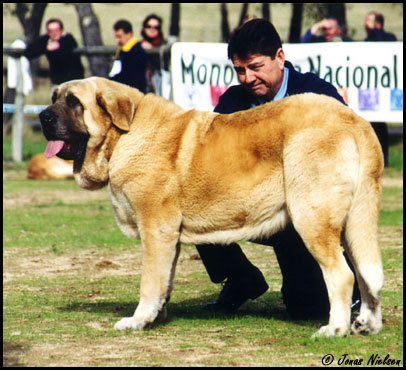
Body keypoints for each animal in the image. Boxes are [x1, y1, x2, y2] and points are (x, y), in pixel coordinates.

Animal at [38, 78, 384, 338]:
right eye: (54, 97)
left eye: (73, 101)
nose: (43, 116)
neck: (124, 136)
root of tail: (355, 120)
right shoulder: (170, 238)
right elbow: (164, 280)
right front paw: (157, 316)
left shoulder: (156, 229)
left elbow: (149, 281)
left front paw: (137, 320)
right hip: (353, 225)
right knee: (366, 274)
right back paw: (367, 324)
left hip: (312, 220)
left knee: (341, 275)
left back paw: (335, 329)